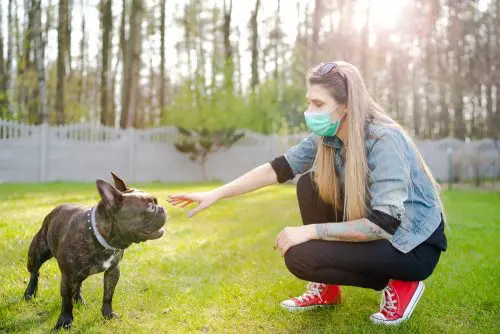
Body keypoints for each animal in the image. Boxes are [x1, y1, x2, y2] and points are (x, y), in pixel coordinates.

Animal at [23, 174, 167, 330]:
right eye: (150, 207)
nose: (162, 208)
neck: (98, 235)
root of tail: (53, 212)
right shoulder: (67, 276)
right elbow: (66, 301)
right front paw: (64, 321)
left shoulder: (113, 271)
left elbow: (108, 295)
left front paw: (108, 315)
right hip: (37, 254)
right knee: (35, 273)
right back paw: (29, 293)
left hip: (81, 273)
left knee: (78, 286)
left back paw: (80, 301)